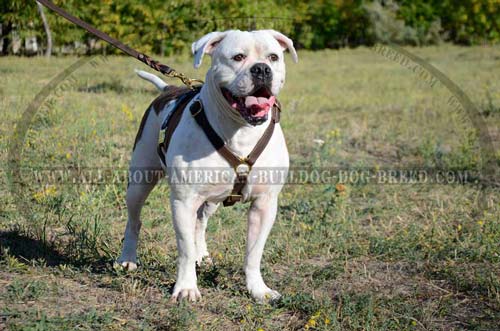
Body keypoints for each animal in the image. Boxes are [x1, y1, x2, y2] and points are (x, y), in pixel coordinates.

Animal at [118, 29, 296, 304]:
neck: (241, 129)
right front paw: (186, 288)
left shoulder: (265, 204)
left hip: (211, 198)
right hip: (140, 181)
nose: (262, 69)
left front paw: (258, 289)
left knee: (200, 222)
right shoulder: (183, 201)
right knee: (135, 220)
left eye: (273, 57)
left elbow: (254, 252)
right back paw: (128, 259)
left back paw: (202, 254)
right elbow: (184, 249)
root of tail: (170, 88)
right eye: (238, 57)